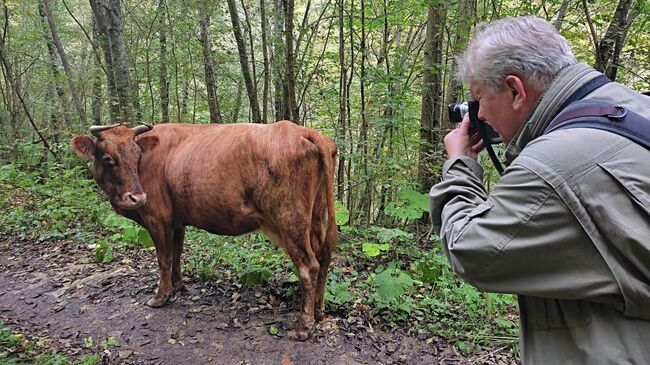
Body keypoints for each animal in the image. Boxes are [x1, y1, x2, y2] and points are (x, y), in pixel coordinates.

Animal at [71, 121, 336, 340]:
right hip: (316, 215)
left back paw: (303, 327)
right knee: (323, 258)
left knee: (308, 266)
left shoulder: (157, 219)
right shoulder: (177, 221)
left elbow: (164, 258)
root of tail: (302, 130)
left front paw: (160, 296)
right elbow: (177, 254)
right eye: (108, 157)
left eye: (137, 155)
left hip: (290, 219)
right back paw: (319, 312)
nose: (137, 198)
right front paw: (178, 285)